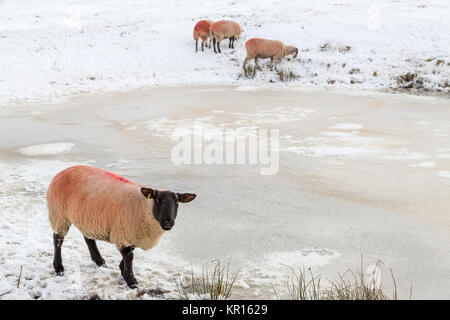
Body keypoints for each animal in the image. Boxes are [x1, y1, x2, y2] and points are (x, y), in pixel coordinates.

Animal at [46, 166, 196, 288]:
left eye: (177, 203)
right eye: (158, 200)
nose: (168, 221)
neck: (144, 207)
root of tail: (63, 171)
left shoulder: (131, 234)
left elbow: (129, 254)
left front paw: (122, 270)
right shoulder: (124, 232)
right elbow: (129, 257)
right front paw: (132, 281)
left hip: (87, 217)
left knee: (88, 238)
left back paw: (99, 261)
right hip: (59, 214)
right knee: (57, 239)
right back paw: (59, 268)